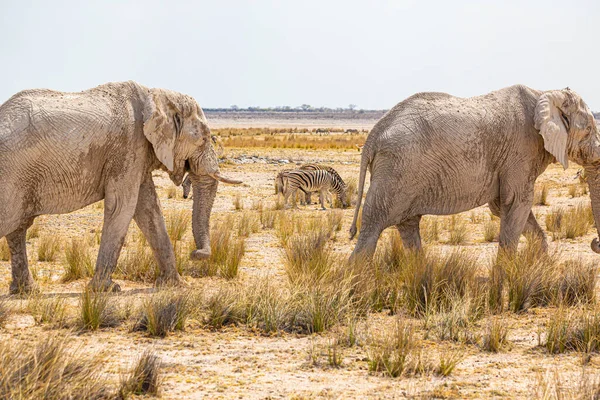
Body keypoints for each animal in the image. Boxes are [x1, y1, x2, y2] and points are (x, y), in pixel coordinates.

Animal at [1, 81, 244, 294]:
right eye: (203, 139)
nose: (196, 253)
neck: (155, 96)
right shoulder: (128, 147)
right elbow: (123, 207)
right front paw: (106, 290)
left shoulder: (139, 154)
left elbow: (149, 209)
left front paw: (174, 285)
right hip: (12, 174)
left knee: (18, 228)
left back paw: (26, 291)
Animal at [350, 85, 600, 260]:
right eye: (588, 129)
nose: (594, 243)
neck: (544, 93)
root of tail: (373, 135)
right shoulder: (521, 151)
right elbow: (516, 203)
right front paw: (506, 278)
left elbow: (505, 208)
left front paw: (538, 267)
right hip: (396, 169)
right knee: (373, 226)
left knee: (408, 225)